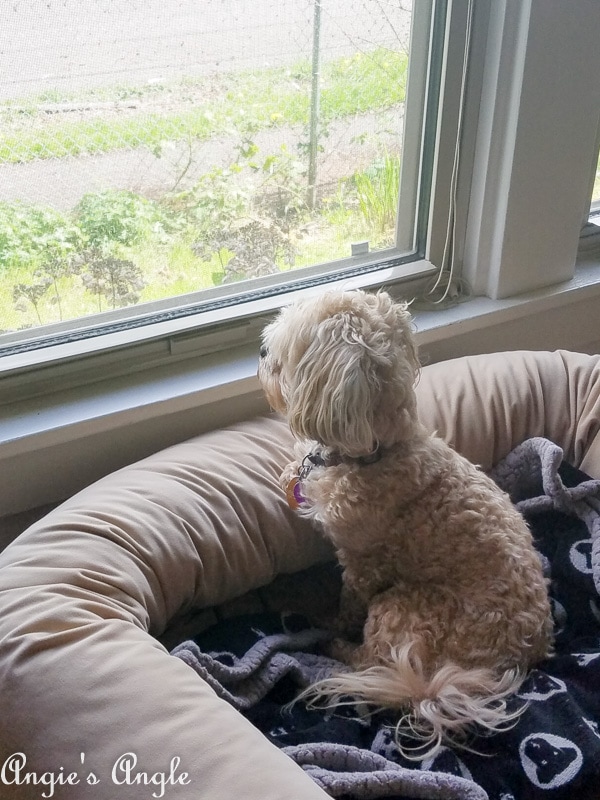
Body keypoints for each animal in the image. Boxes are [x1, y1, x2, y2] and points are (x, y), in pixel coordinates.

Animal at [258, 288, 552, 756]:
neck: (376, 451)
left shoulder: (361, 564)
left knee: (371, 659)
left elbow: (345, 604)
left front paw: (327, 620)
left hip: (400, 606)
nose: (262, 351)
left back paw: (332, 647)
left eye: (287, 348)